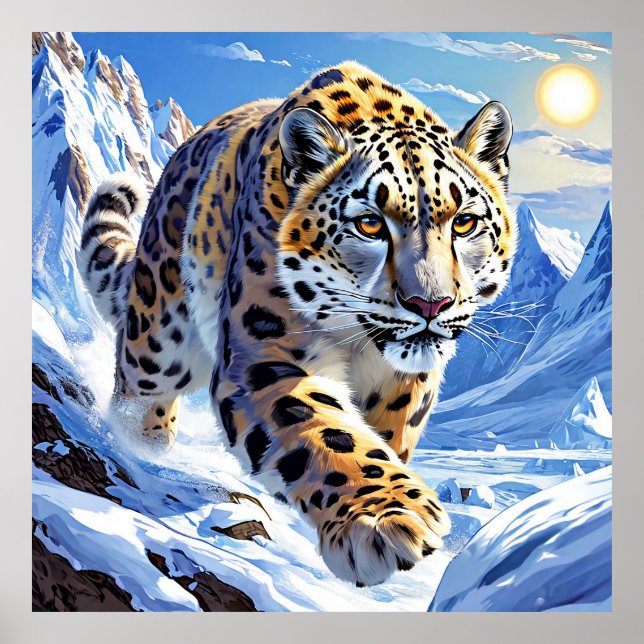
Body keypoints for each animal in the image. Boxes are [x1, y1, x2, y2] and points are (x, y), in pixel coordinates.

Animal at [77, 61, 516, 587]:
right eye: (370, 224)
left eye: (464, 222)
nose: (429, 304)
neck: (360, 341)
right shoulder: (265, 354)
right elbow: (324, 430)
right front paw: (384, 521)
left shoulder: (405, 380)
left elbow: (386, 435)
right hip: (159, 338)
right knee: (137, 386)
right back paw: (144, 446)